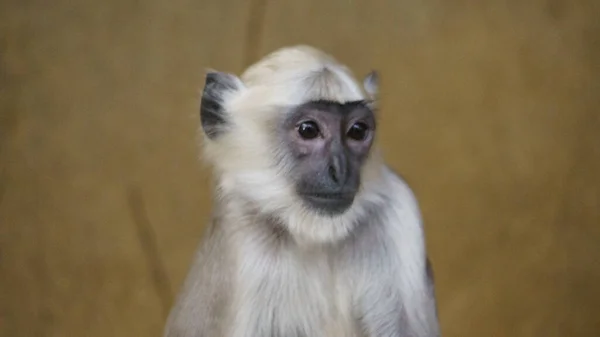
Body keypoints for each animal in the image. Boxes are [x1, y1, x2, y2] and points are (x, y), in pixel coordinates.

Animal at [164, 45, 440, 336]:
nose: (339, 170)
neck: (316, 235)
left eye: (357, 130)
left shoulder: (398, 209)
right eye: (308, 130)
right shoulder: (244, 239)